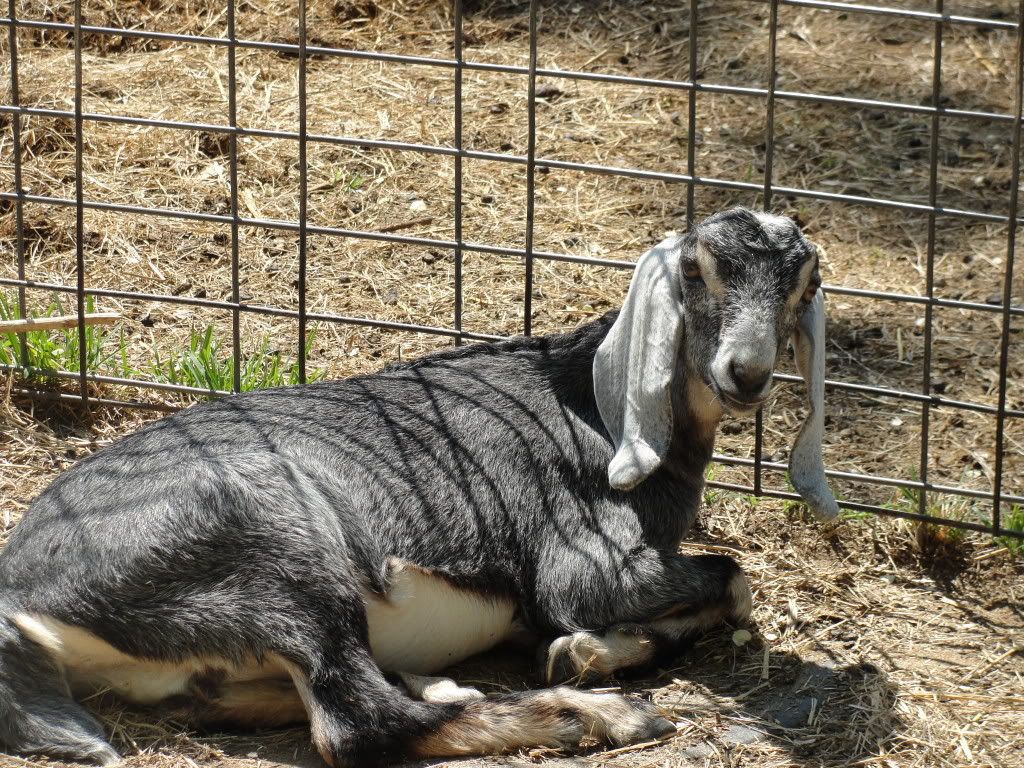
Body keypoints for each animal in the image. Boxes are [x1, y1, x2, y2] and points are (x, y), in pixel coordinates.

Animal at [0, 207, 837, 767]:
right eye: (696, 270)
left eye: (805, 285)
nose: (746, 373)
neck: (584, 397)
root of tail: (20, 595)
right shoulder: (588, 564)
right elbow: (732, 579)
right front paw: (585, 656)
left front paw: (581, 653)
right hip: (279, 558)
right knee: (356, 726)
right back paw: (598, 717)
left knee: (236, 698)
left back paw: (439, 685)